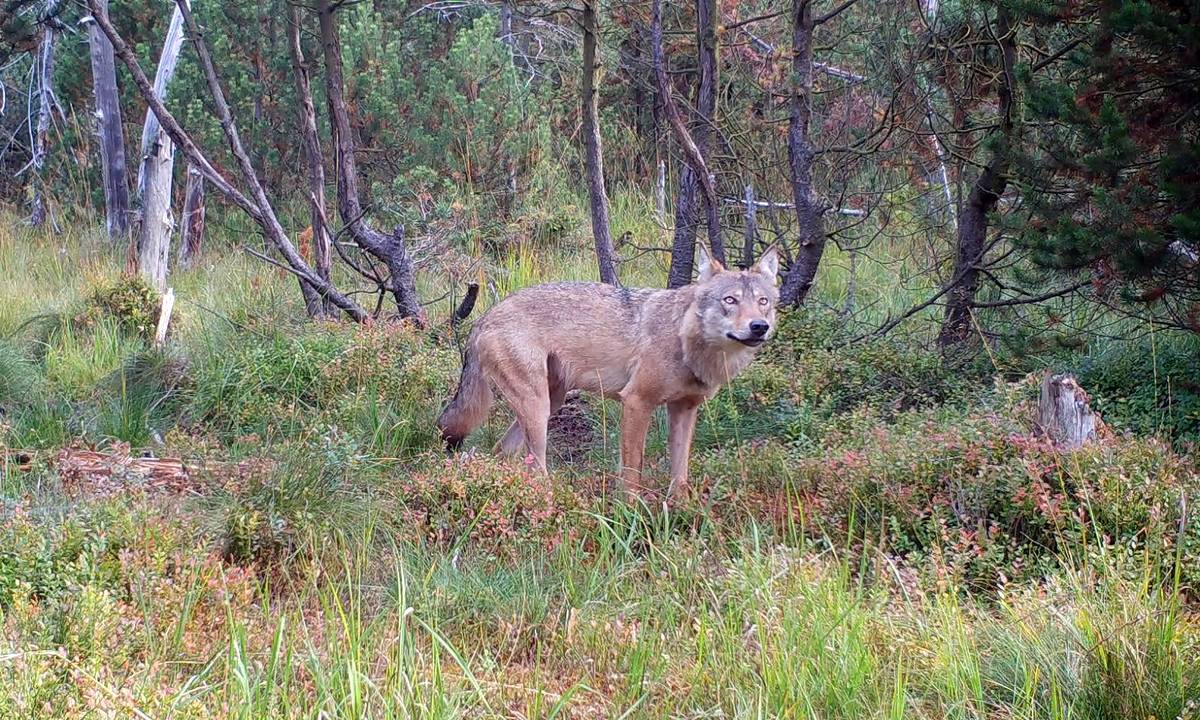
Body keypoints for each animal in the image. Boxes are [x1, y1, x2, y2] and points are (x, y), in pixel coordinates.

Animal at [437, 245, 779, 501]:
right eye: (730, 300)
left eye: (763, 302)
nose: (759, 327)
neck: (684, 339)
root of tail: (483, 318)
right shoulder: (636, 402)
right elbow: (632, 471)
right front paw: (630, 512)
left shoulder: (684, 410)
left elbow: (680, 473)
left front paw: (680, 509)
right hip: (538, 410)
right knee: (536, 467)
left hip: (550, 404)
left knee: (502, 452)